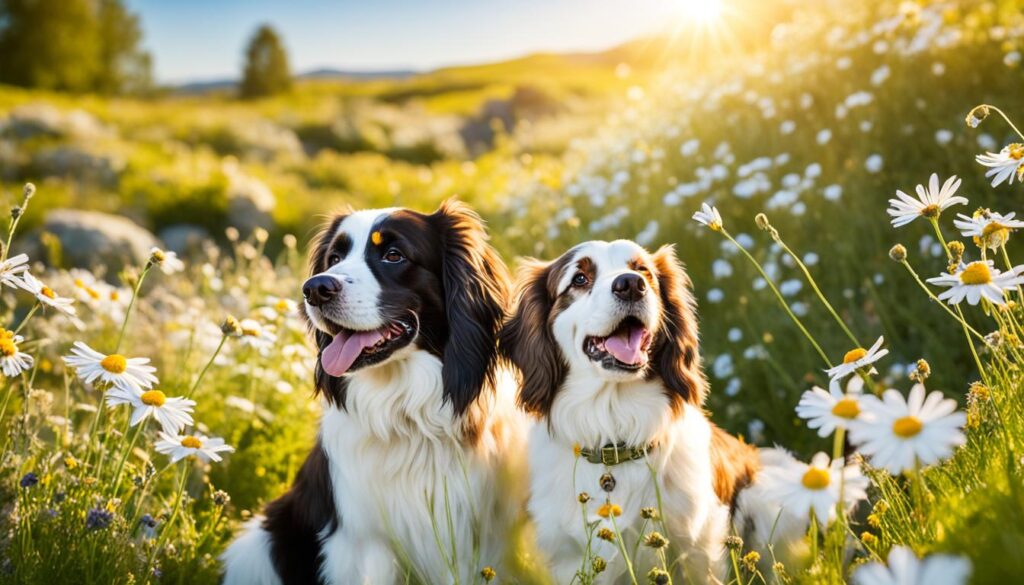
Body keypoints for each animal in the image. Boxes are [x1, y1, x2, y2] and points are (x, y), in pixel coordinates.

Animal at [499, 240, 802, 581]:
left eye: (644, 271)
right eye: (579, 278)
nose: (631, 284)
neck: (614, 431)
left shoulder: (698, 548)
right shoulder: (569, 559)